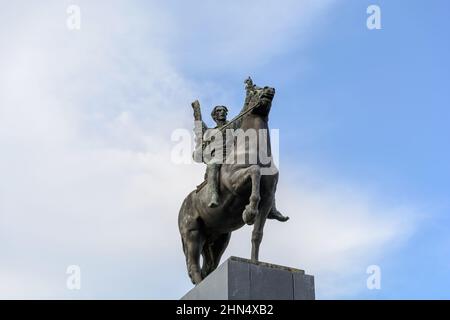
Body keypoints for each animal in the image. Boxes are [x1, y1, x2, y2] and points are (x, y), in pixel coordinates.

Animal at [178, 83, 278, 284]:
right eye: (254, 91)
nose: (269, 89)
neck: (254, 151)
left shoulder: (268, 200)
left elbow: (257, 235)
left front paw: (255, 262)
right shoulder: (235, 184)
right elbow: (254, 172)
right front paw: (249, 213)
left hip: (219, 238)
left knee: (209, 267)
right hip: (192, 233)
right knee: (193, 267)